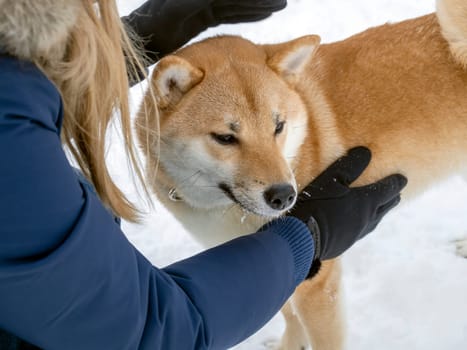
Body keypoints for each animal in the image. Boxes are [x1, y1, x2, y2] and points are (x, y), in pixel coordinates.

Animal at [135, 0, 467, 348]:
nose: (284, 195)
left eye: (278, 126)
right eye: (225, 138)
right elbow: (288, 311)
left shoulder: (318, 283)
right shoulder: (278, 258)